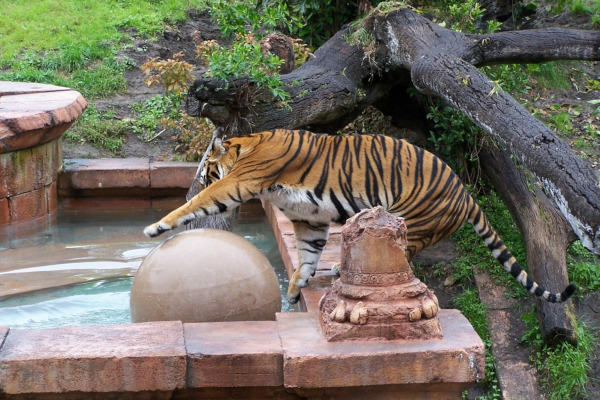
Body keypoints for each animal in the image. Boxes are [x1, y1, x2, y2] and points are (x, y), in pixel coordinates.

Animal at [144, 130, 576, 304]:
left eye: (205, 170)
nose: (192, 182)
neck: (249, 146)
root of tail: (466, 195)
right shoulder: (310, 219)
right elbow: (306, 257)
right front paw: (293, 293)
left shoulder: (240, 182)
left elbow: (198, 205)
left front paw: (157, 226)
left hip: (407, 224)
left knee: (399, 262)